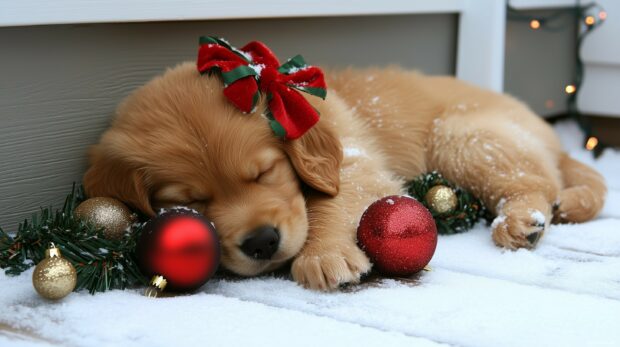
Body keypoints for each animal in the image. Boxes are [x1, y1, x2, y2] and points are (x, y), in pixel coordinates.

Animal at [82, 61, 604, 290]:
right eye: (190, 201)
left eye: (265, 172)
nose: (262, 243)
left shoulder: (352, 160)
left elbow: (329, 201)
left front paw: (324, 255)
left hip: (461, 136)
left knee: (540, 182)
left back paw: (520, 222)